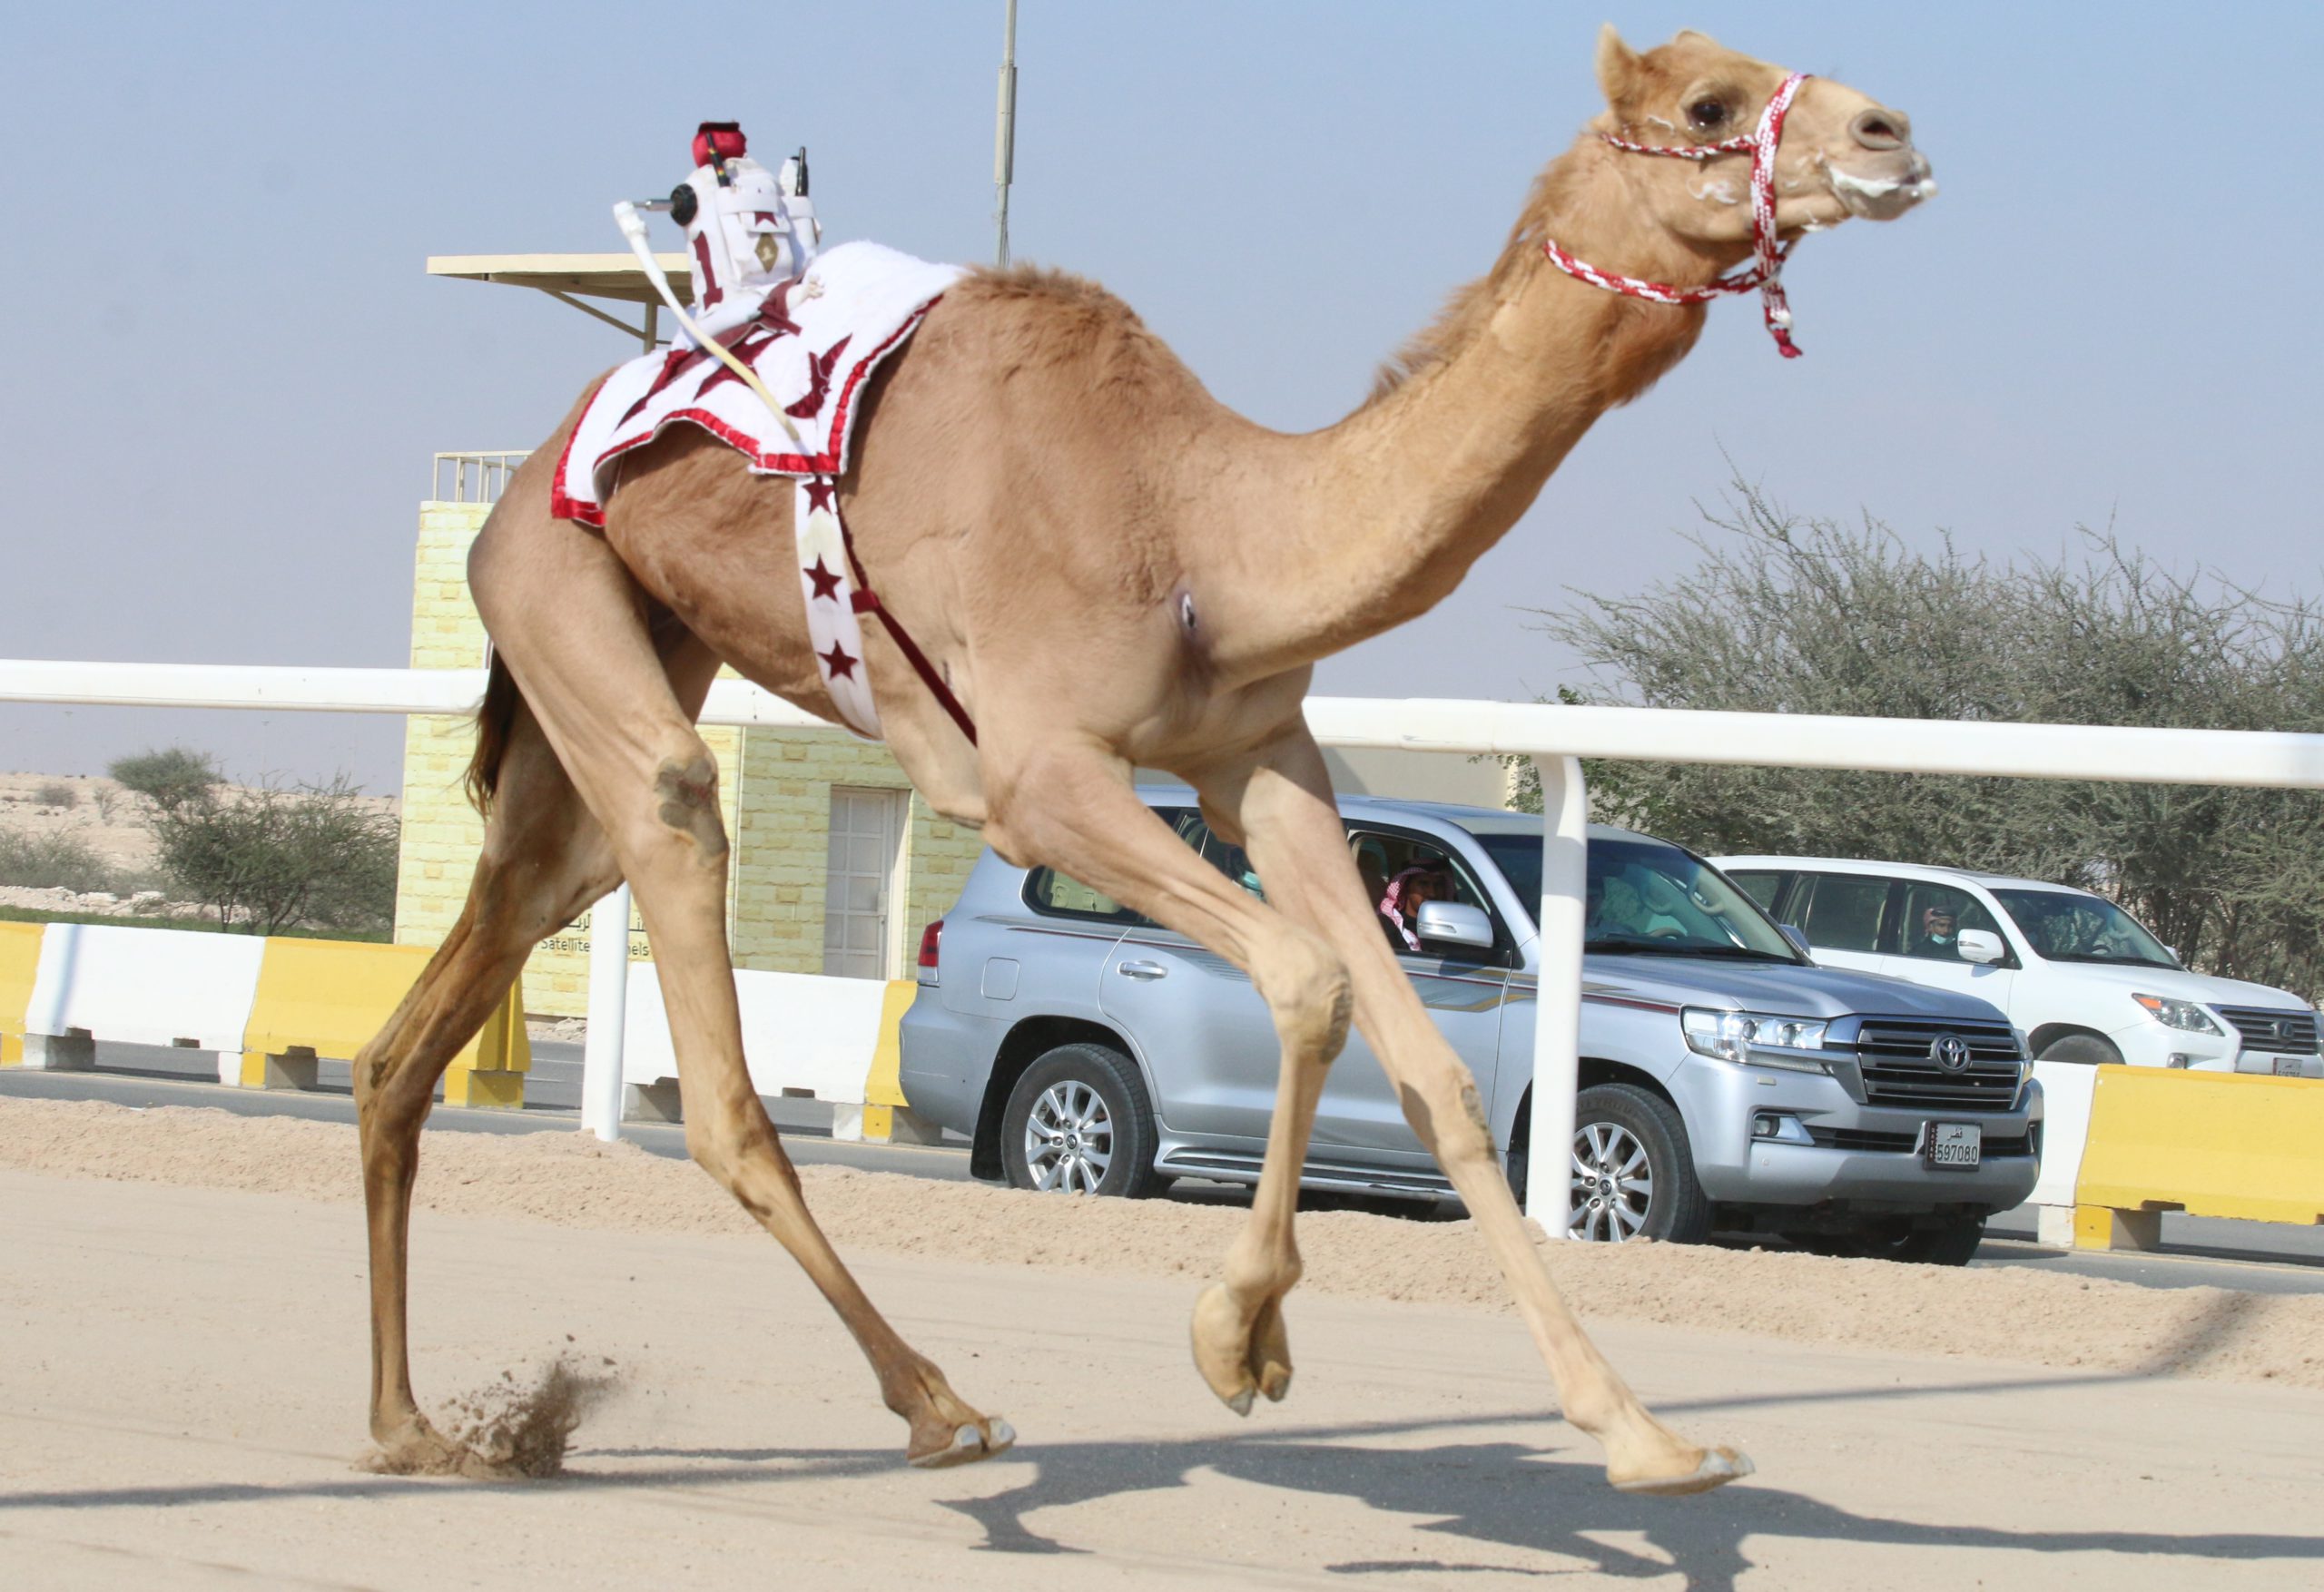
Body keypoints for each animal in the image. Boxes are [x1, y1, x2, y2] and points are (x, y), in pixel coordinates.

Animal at [343, 25, 1933, 1487]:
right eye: (1709, 105)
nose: (1893, 132)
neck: (1204, 532)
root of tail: (526, 481)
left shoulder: (1265, 759)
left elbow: (1439, 1074)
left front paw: (1645, 1432)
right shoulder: (1038, 779)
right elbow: (1303, 983)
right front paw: (1239, 1334)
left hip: (598, 692)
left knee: (441, 999)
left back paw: (411, 1424)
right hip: (559, 592)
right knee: (705, 979)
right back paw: (939, 1406)